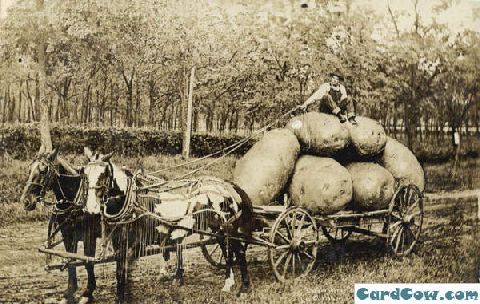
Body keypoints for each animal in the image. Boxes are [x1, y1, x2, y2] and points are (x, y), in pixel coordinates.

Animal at [20, 148, 100, 304]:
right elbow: (70, 260)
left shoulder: (89, 235)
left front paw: (88, 292)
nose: (26, 201)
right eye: (29, 169)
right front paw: (70, 292)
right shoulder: (67, 234)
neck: (76, 198)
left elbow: (88, 262)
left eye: (44, 170)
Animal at [82, 151, 255, 302]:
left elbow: (121, 274)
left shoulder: (128, 245)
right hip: (218, 229)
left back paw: (245, 288)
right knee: (227, 252)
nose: (90, 207)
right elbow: (119, 274)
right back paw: (228, 284)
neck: (131, 201)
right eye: (84, 174)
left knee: (239, 252)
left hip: (229, 228)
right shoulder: (118, 243)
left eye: (104, 174)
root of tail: (227, 186)